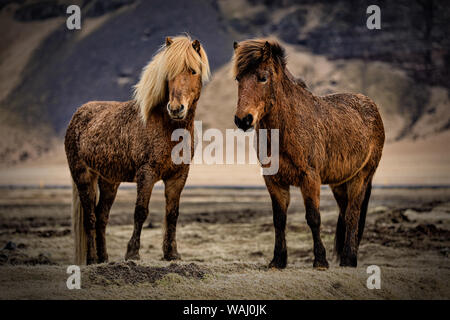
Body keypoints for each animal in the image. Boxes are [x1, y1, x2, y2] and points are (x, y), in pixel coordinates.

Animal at [65, 35, 211, 264]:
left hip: (109, 182)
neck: (168, 127)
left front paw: (172, 254)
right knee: (90, 218)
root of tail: (77, 114)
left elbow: (172, 214)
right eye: (168, 73)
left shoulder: (178, 176)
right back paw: (91, 259)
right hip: (83, 176)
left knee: (101, 217)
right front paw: (132, 253)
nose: (176, 109)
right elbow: (141, 211)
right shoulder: (147, 173)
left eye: (193, 71)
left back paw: (104, 258)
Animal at [234, 40, 384, 270]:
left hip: (361, 177)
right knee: (345, 212)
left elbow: (313, 218)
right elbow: (279, 219)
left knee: (353, 214)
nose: (243, 119)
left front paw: (320, 261)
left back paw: (349, 259)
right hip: (340, 183)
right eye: (238, 79)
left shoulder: (310, 178)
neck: (288, 126)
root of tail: (371, 105)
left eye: (263, 77)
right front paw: (278, 260)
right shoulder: (273, 180)